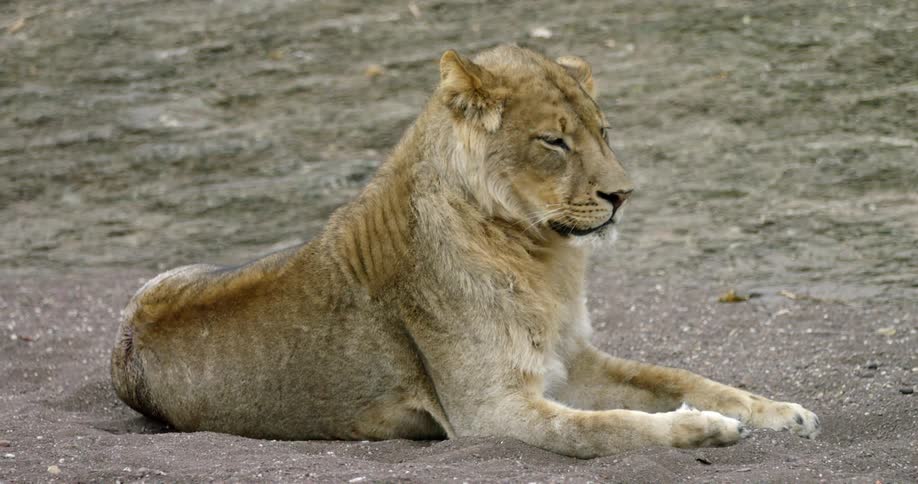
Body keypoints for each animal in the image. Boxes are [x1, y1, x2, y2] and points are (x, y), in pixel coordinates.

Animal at [111, 45, 819, 458]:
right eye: (553, 141)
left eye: (604, 132)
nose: (622, 195)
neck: (541, 257)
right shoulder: (490, 412)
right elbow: (602, 427)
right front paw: (701, 429)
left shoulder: (570, 361)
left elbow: (680, 377)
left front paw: (780, 412)